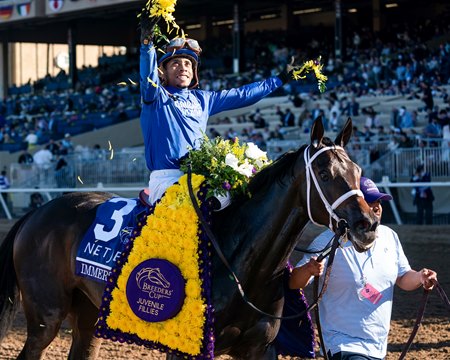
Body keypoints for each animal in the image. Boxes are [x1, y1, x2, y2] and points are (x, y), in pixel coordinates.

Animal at [0, 119, 380, 360]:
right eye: (325, 173)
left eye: (358, 172)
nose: (368, 224)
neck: (239, 260)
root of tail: (35, 214)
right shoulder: (187, 351)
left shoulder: (261, 349)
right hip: (45, 317)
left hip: (89, 314)